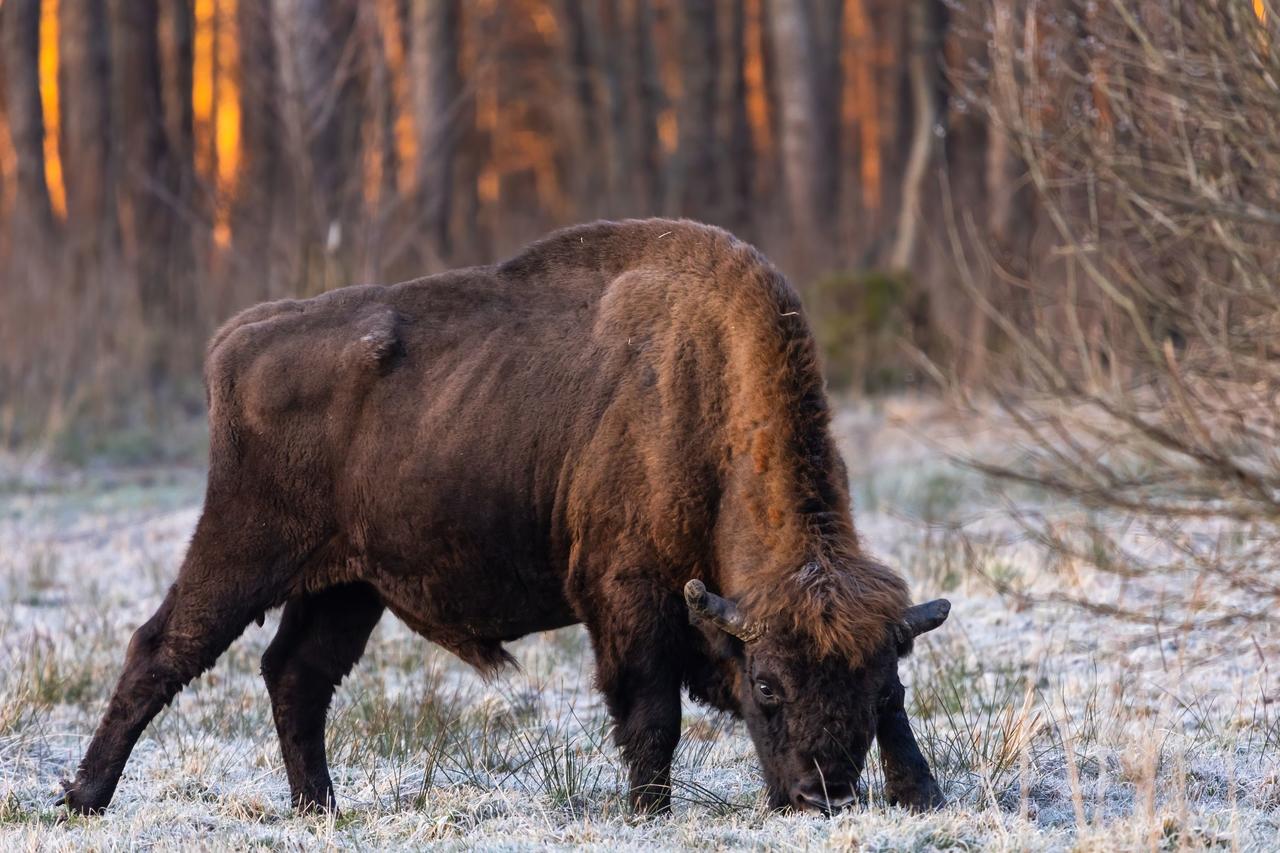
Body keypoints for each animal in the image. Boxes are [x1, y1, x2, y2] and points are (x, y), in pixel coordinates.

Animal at [62, 217, 952, 809]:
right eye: (767, 684)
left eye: (871, 680)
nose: (821, 794)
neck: (708, 401)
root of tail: (237, 338)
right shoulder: (628, 600)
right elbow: (652, 714)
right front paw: (649, 811)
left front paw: (923, 791)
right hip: (242, 548)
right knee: (162, 649)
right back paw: (84, 798)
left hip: (347, 586)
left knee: (295, 674)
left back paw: (320, 808)